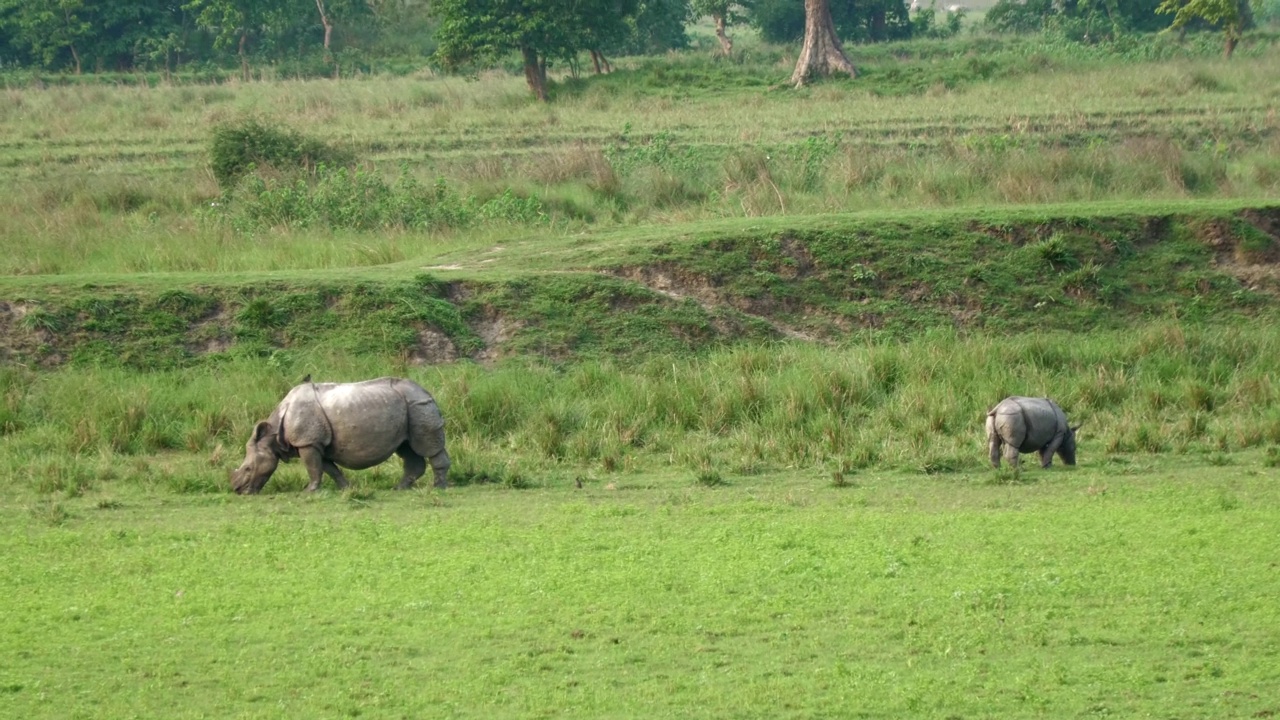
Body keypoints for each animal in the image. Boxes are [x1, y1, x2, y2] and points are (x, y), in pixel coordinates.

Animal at [230, 376, 450, 491]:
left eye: (248, 468)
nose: (238, 490)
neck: (273, 435)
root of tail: (427, 392)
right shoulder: (318, 443)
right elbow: (329, 468)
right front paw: (346, 488)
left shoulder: (308, 442)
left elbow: (313, 468)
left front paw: (309, 491)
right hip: (409, 408)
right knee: (406, 448)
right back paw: (399, 488)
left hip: (419, 406)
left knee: (428, 447)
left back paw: (438, 487)